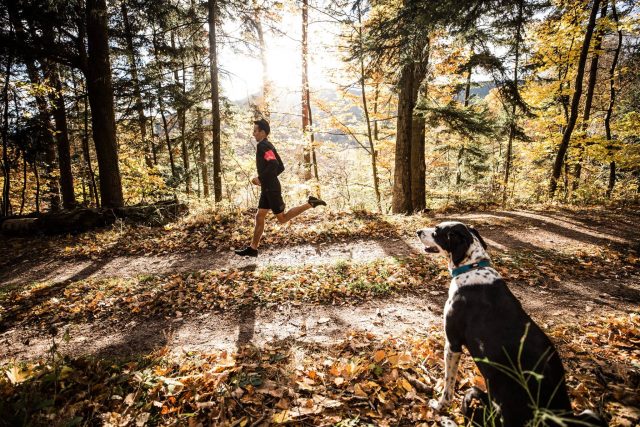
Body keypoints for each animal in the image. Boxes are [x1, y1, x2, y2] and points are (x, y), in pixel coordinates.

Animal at [416, 222, 604, 426]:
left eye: (437, 231)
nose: (418, 231)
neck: (472, 267)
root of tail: (557, 414)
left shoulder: (452, 344)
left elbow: (448, 384)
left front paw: (439, 405)